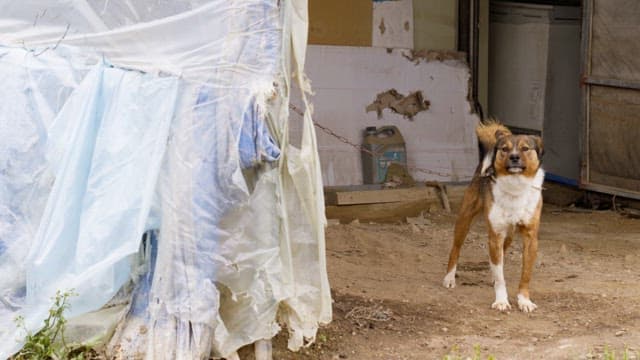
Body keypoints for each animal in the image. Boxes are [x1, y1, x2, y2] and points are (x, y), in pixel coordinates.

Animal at [444, 120, 544, 312]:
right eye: (504, 149)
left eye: (525, 148)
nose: (514, 157)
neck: (515, 186)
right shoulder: (495, 234)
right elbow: (500, 278)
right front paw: (501, 301)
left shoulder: (530, 237)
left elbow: (525, 274)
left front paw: (524, 300)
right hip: (464, 220)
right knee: (455, 249)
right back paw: (449, 278)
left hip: (509, 235)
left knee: (500, 256)